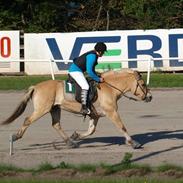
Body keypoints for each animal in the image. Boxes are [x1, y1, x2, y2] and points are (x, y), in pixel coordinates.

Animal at [0, 68, 152, 149]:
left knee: (56, 124)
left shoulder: (95, 116)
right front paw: (133, 143)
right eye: (143, 84)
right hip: (41, 109)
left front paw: (76, 135)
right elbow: (122, 127)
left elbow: (91, 131)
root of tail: (36, 87)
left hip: (55, 109)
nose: (150, 97)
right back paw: (15, 136)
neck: (109, 88)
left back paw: (70, 142)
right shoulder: (112, 112)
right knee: (27, 120)